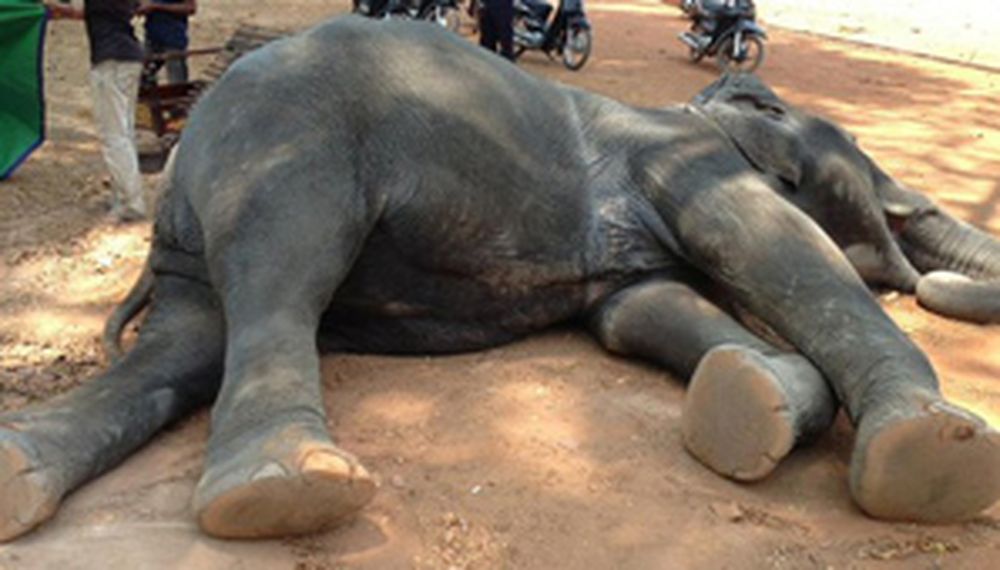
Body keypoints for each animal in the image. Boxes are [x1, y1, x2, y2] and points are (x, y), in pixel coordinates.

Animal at [2, 15, 999, 541]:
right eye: (864, 164)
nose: (910, 252)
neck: (703, 112)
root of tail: (181, 155)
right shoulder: (688, 167)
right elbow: (777, 249)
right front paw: (934, 451)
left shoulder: (632, 263)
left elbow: (641, 309)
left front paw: (755, 401)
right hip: (292, 144)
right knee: (280, 275)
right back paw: (284, 491)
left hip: (194, 239)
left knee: (185, 341)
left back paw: (21, 472)